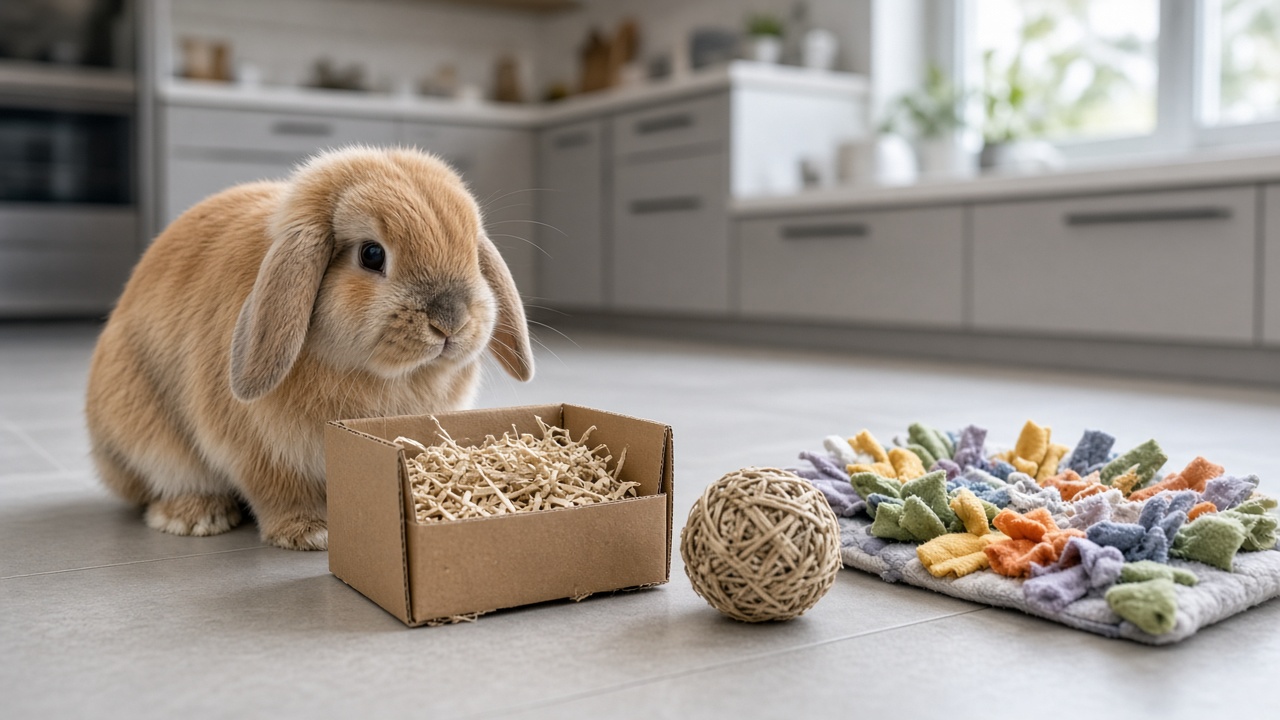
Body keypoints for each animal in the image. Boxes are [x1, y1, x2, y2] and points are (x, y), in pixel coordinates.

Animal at [85, 146, 534, 550]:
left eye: (472, 253)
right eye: (372, 254)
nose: (450, 321)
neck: (385, 375)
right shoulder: (257, 450)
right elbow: (279, 491)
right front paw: (312, 533)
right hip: (147, 437)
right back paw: (195, 517)